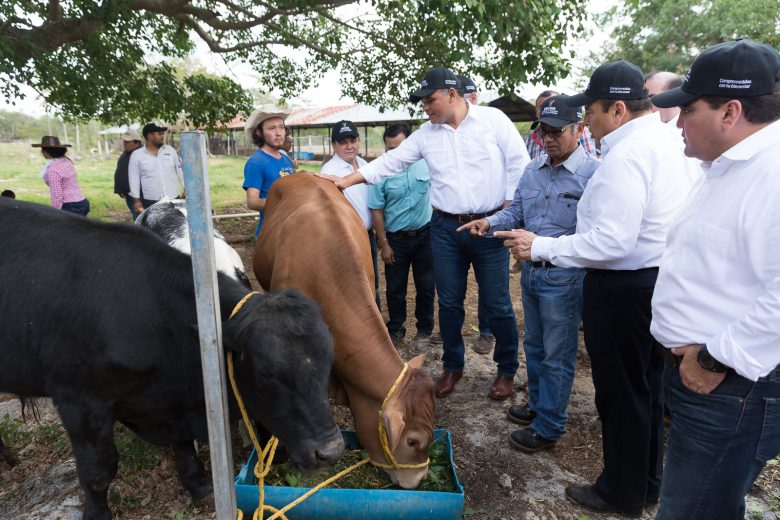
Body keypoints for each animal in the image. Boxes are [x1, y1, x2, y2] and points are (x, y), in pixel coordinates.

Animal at [0, 198, 342, 520]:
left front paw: (198, 484)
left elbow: (181, 442)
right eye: (267, 373)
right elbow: (98, 470)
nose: (331, 449)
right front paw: (97, 513)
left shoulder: (171, 397)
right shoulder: (80, 402)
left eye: (328, 363)